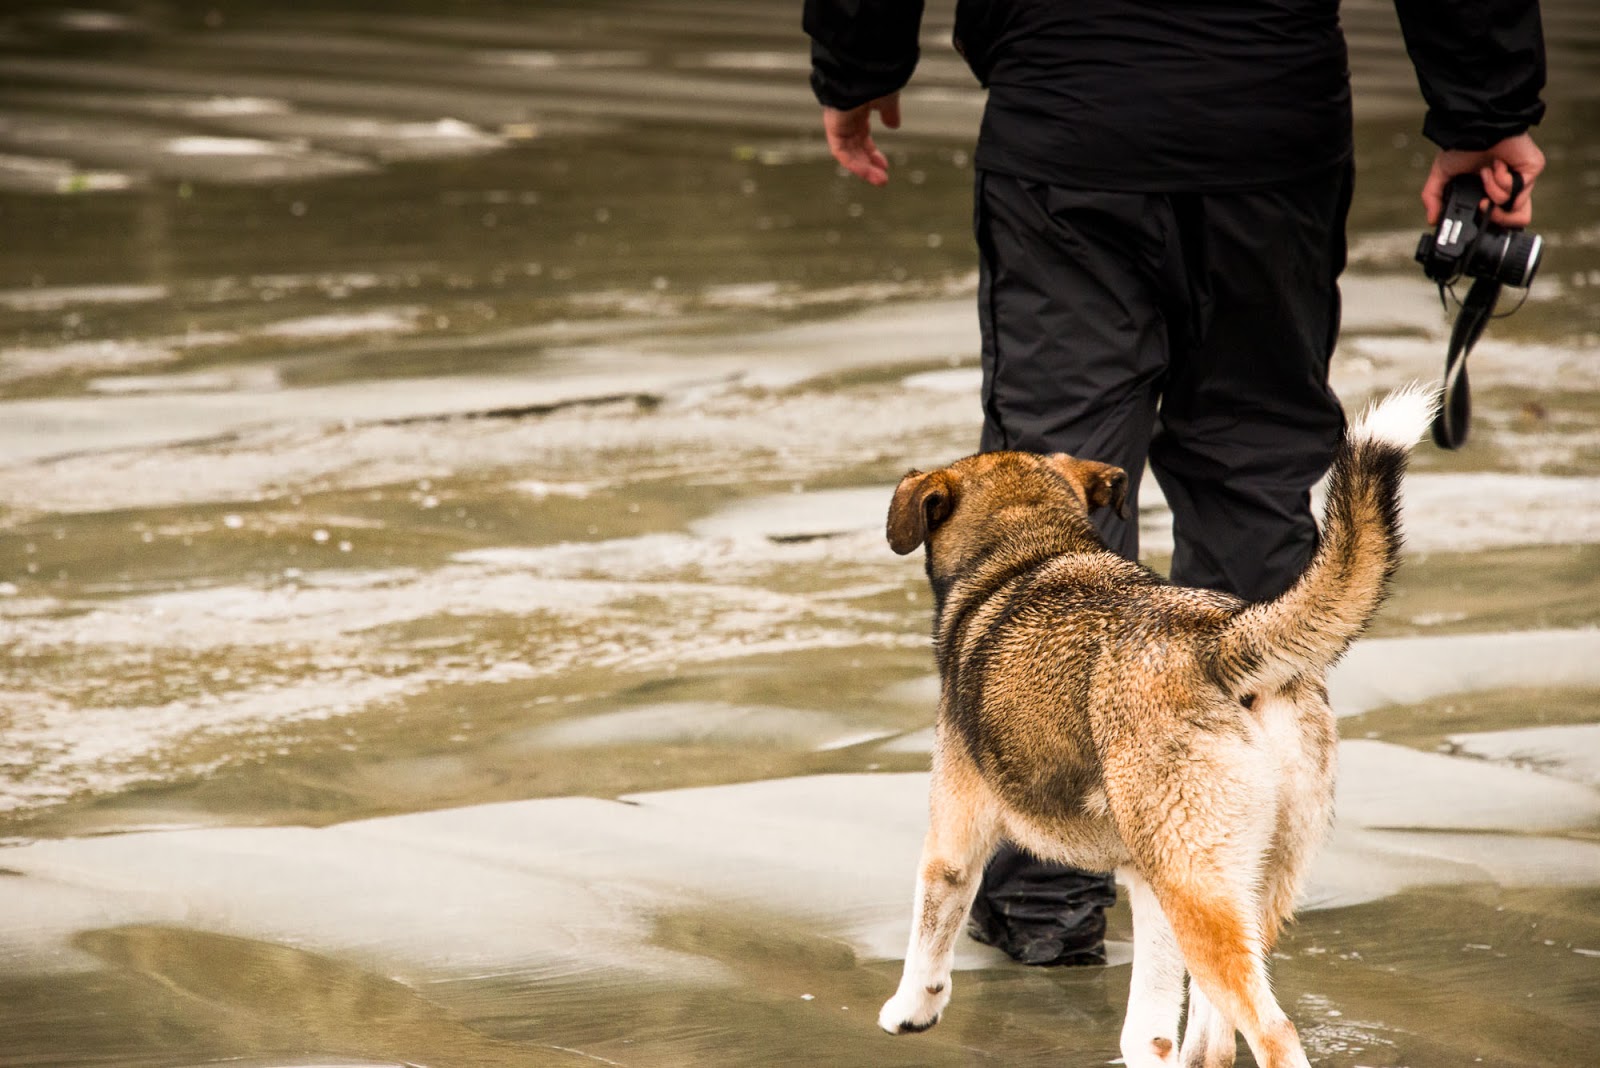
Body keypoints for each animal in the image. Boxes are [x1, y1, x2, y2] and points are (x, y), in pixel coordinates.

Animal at [877, 385, 1437, 1068]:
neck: (1031, 547)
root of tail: (1219, 643)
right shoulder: (1149, 884)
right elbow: (1159, 1023)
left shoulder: (957, 834)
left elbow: (932, 926)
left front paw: (911, 1011)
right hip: (1246, 886)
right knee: (1218, 1032)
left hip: (1197, 889)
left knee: (1271, 1031)